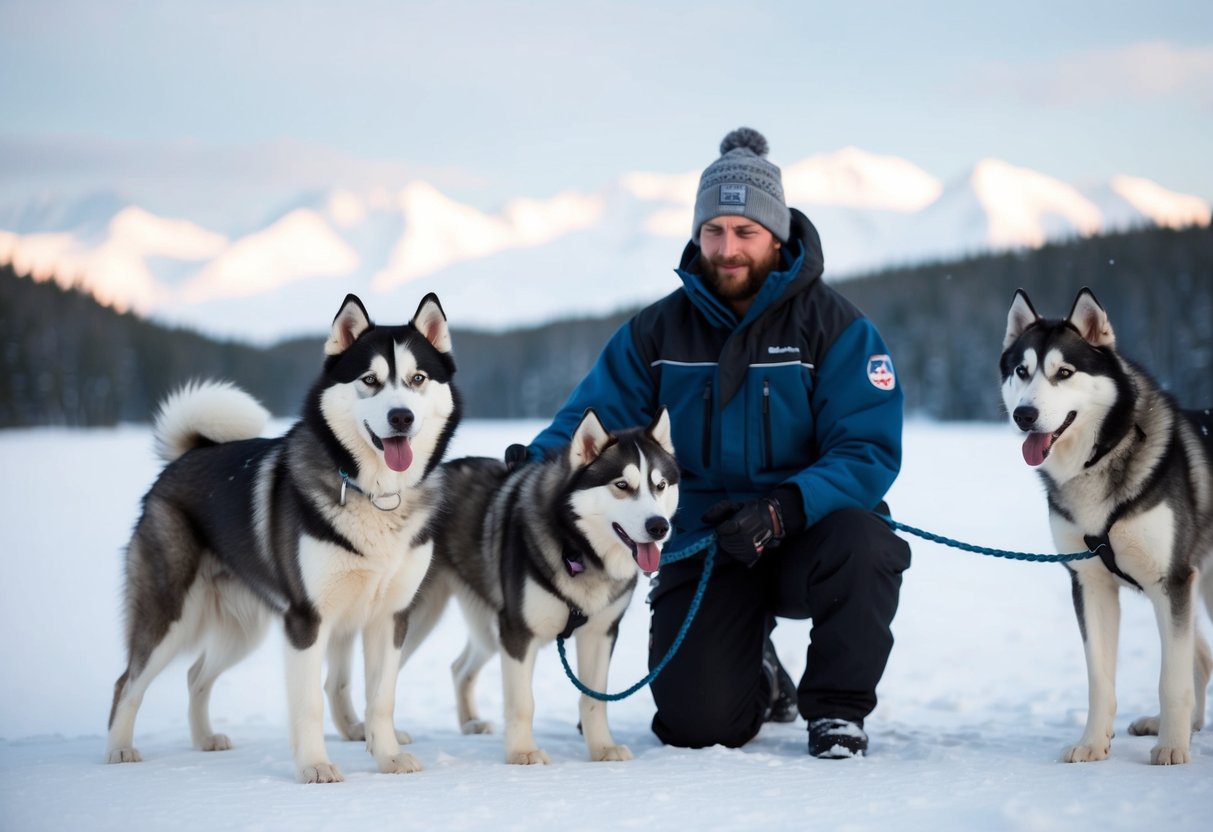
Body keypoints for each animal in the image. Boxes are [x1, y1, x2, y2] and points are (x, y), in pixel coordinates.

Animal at [106, 293, 460, 783]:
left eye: (418, 379)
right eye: (370, 380)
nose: (401, 417)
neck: (374, 493)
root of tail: (185, 456)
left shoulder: (390, 617)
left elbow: (381, 699)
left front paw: (388, 758)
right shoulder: (306, 620)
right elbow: (308, 704)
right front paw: (315, 766)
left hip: (242, 628)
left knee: (196, 674)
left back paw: (204, 739)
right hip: (170, 614)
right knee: (128, 681)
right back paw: (119, 749)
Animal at [326, 407, 679, 764]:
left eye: (660, 485)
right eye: (622, 485)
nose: (659, 527)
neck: (578, 548)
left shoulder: (600, 633)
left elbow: (594, 699)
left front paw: (603, 748)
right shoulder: (517, 631)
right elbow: (523, 702)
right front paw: (522, 752)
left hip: (482, 623)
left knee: (459, 667)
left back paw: (468, 722)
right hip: (415, 616)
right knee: (372, 680)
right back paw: (371, 734)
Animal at [1001, 286, 1213, 765]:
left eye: (1064, 372)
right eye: (1022, 371)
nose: (1024, 415)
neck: (1099, 458)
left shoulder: (1171, 580)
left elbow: (1170, 678)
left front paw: (1172, 747)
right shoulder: (1090, 582)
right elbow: (1099, 678)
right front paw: (1093, 743)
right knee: (1202, 657)